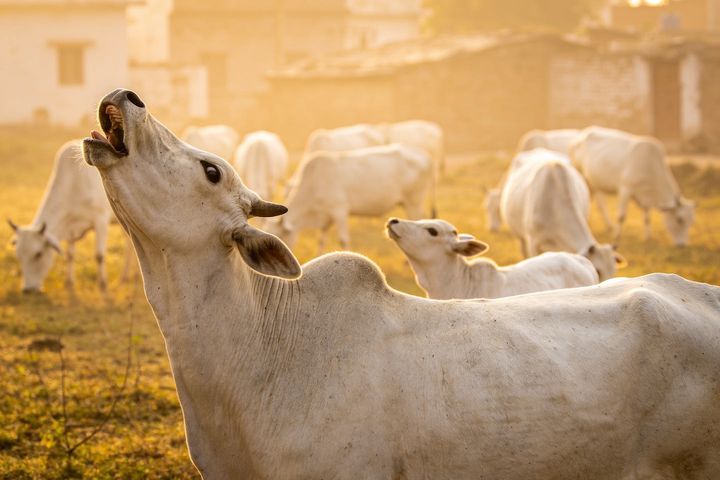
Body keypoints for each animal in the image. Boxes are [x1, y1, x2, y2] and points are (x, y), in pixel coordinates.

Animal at [8, 140, 132, 292]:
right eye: (18, 255)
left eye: (38, 254)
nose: (28, 289)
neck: (73, 184)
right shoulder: (71, 226)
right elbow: (70, 255)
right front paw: (69, 282)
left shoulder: (101, 220)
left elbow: (99, 255)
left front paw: (102, 284)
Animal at [268, 144, 434, 252]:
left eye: (278, 236)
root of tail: (425, 156)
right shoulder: (326, 217)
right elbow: (321, 240)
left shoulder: (339, 210)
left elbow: (343, 240)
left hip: (413, 202)